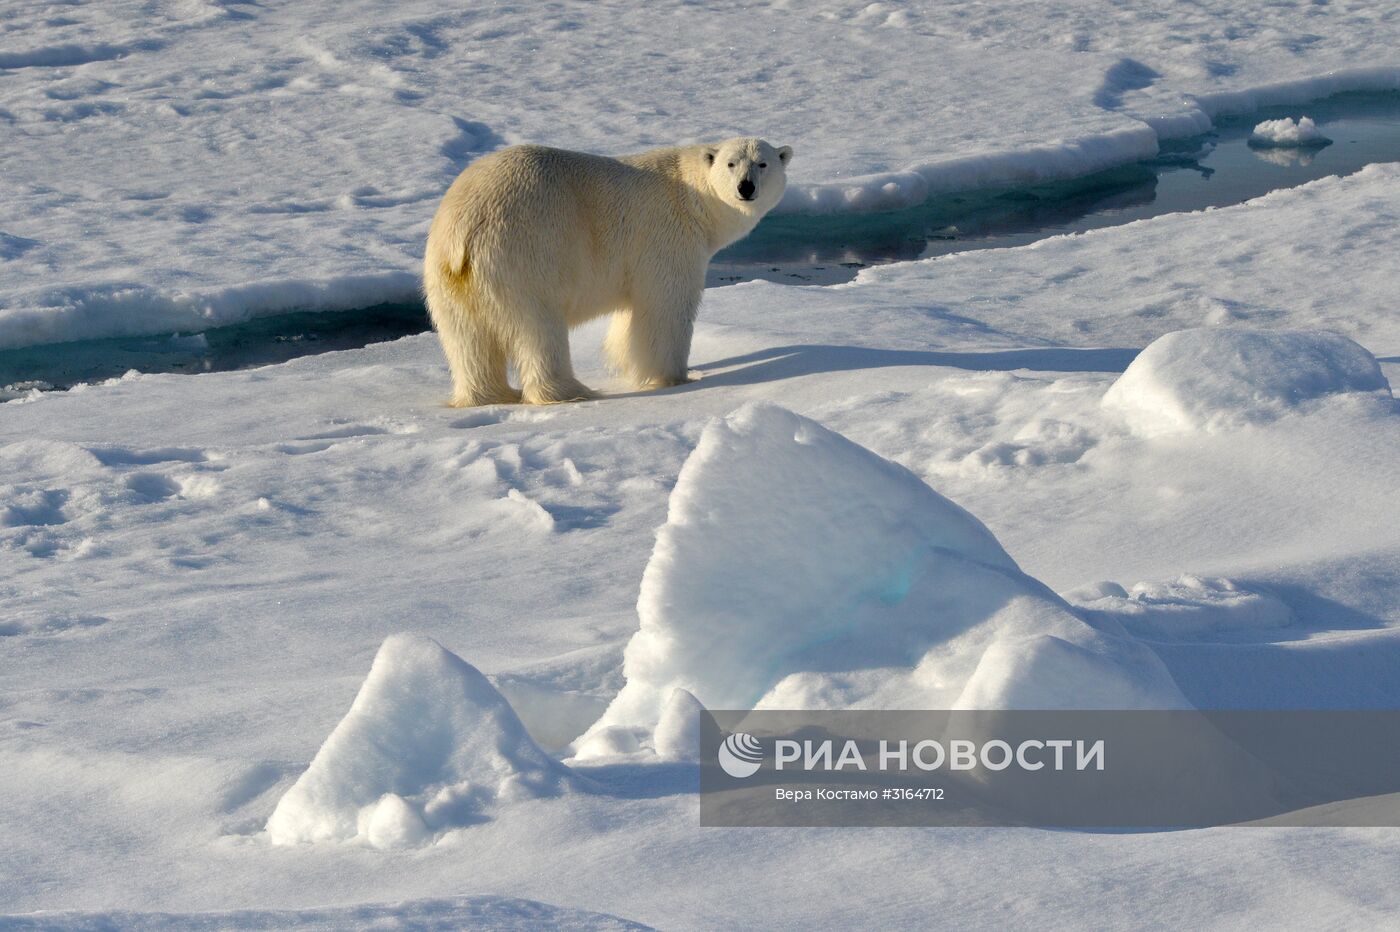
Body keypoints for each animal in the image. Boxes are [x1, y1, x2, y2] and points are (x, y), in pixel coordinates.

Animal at [420, 135, 795, 403]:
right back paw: (571, 392)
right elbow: (665, 307)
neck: (695, 199)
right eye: (731, 164)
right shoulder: (667, 236)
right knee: (539, 327)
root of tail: (464, 228)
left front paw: (626, 362)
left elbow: (629, 314)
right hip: (525, 253)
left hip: (444, 275)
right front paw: (675, 378)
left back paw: (489, 395)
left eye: (762, 163)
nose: (746, 187)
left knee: (466, 338)